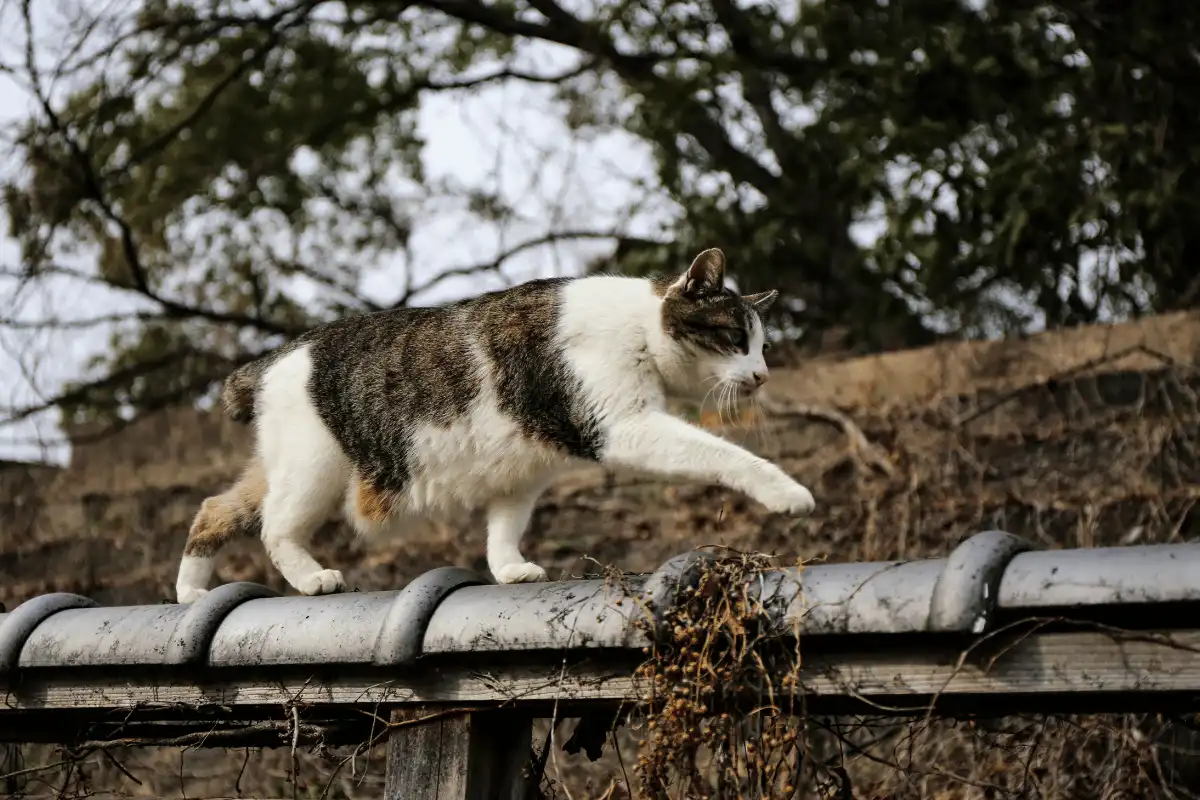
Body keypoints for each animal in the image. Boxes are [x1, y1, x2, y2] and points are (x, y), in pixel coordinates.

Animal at [175, 247, 816, 604]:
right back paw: (313, 579)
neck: (639, 327)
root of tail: (273, 359)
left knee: (212, 509)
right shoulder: (624, 427)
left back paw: (190, 591)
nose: (761, 375)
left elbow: (503, 529)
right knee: (275, 528)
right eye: (735, 338)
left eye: (763, 346)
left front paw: (509, 570)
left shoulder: (523, 471)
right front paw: (787, 493)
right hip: (314, 471)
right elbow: (725, 454)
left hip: (280, 469)